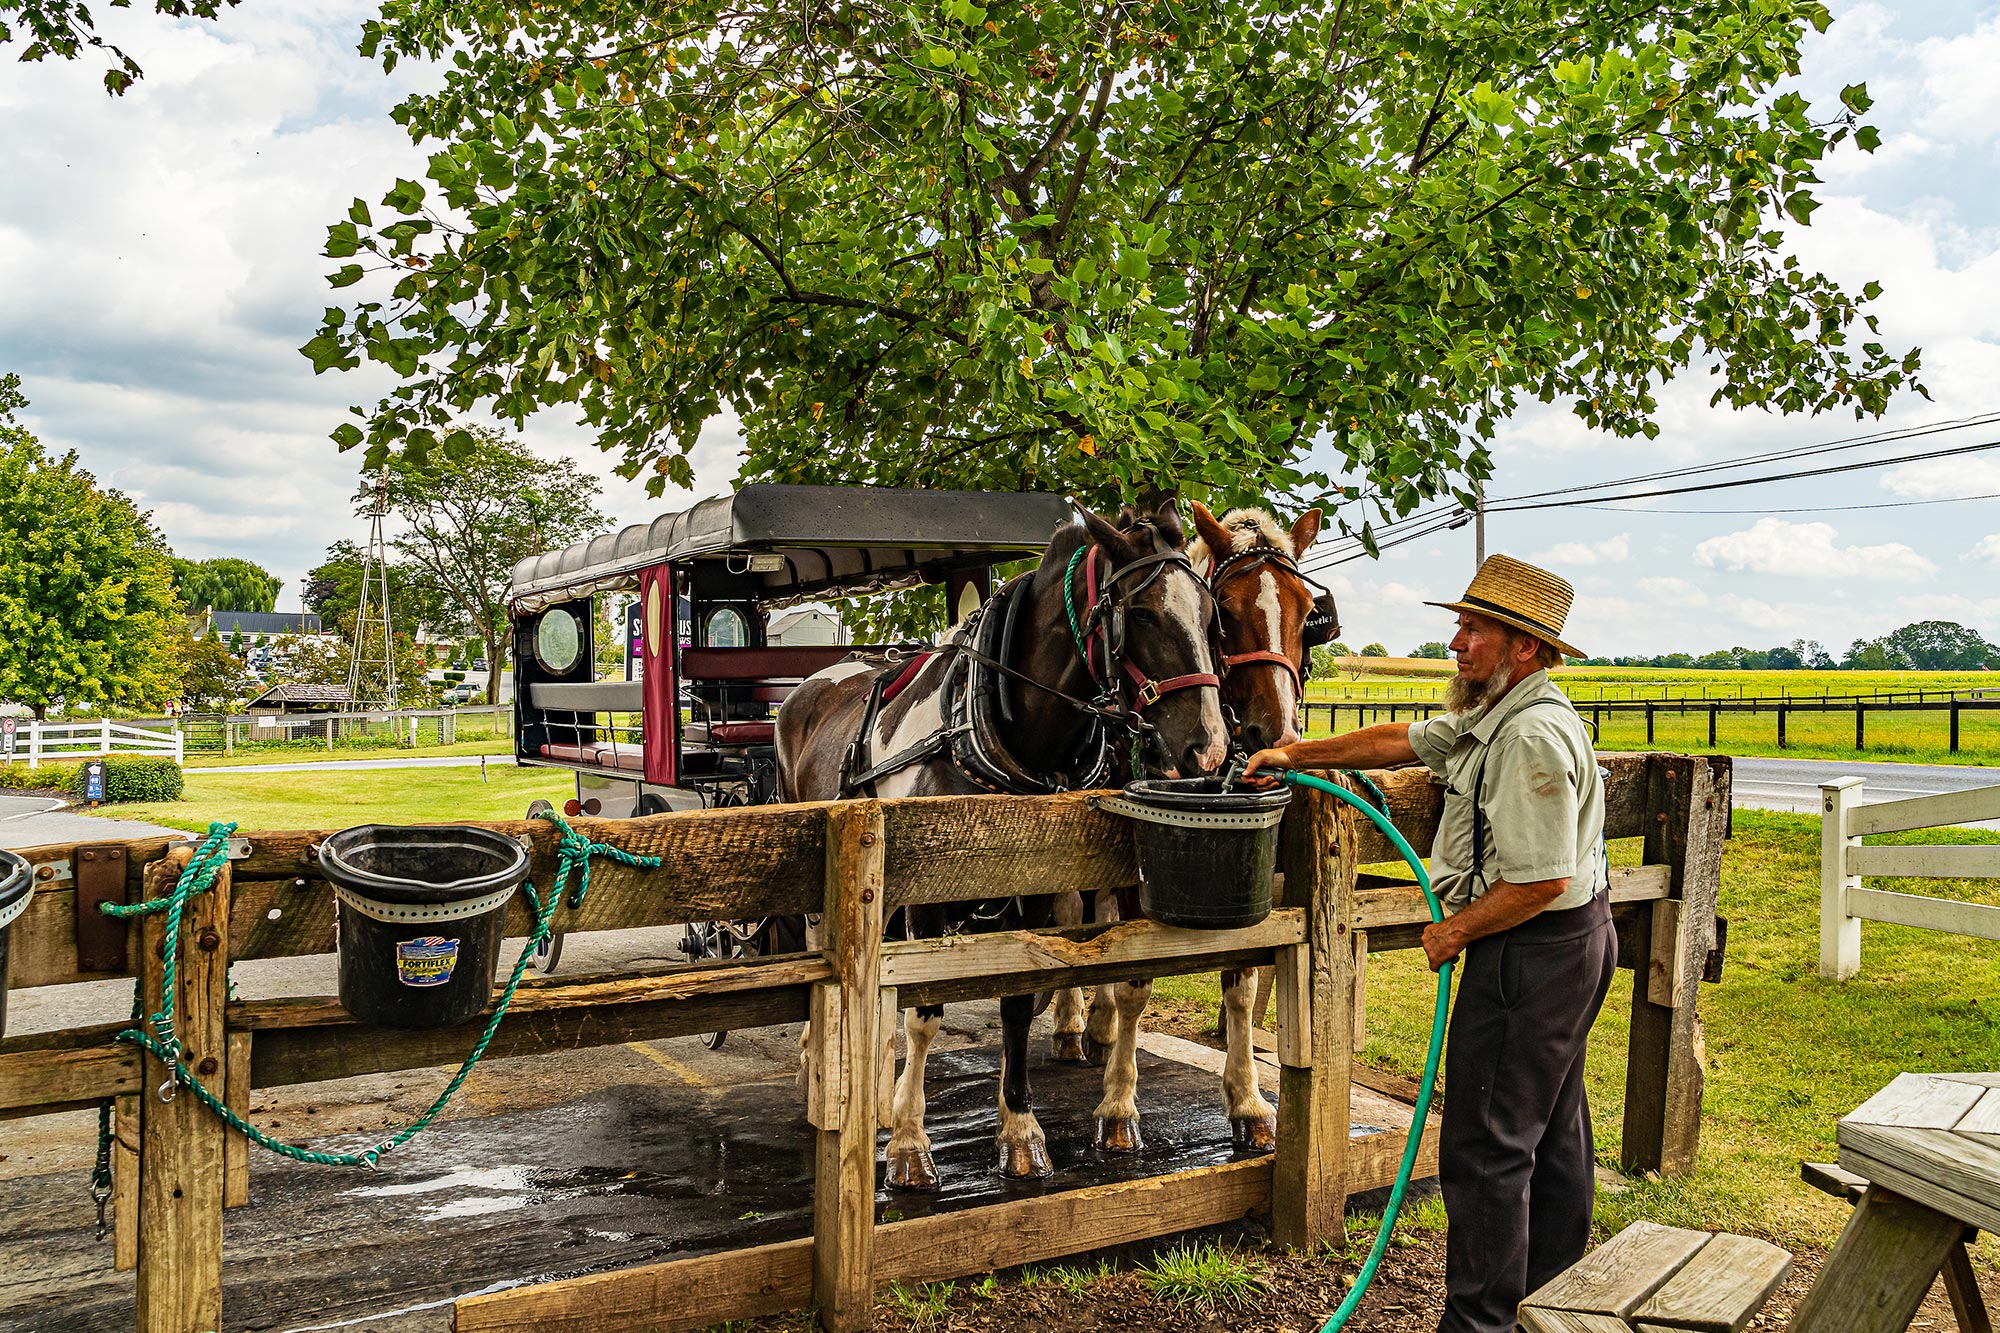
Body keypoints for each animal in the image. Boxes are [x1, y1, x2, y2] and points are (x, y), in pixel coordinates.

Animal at [772, 498, 1224, 1184]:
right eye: (1142, 613)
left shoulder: (1032, 894)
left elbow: (1013, 1002)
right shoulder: (928, 902)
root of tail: (818, 679)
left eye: (1209, 613)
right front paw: (910, 1144)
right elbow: (924, 1013)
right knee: (823, 949)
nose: (1208, 749)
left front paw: (1019, 1130)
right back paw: (819, 1065)